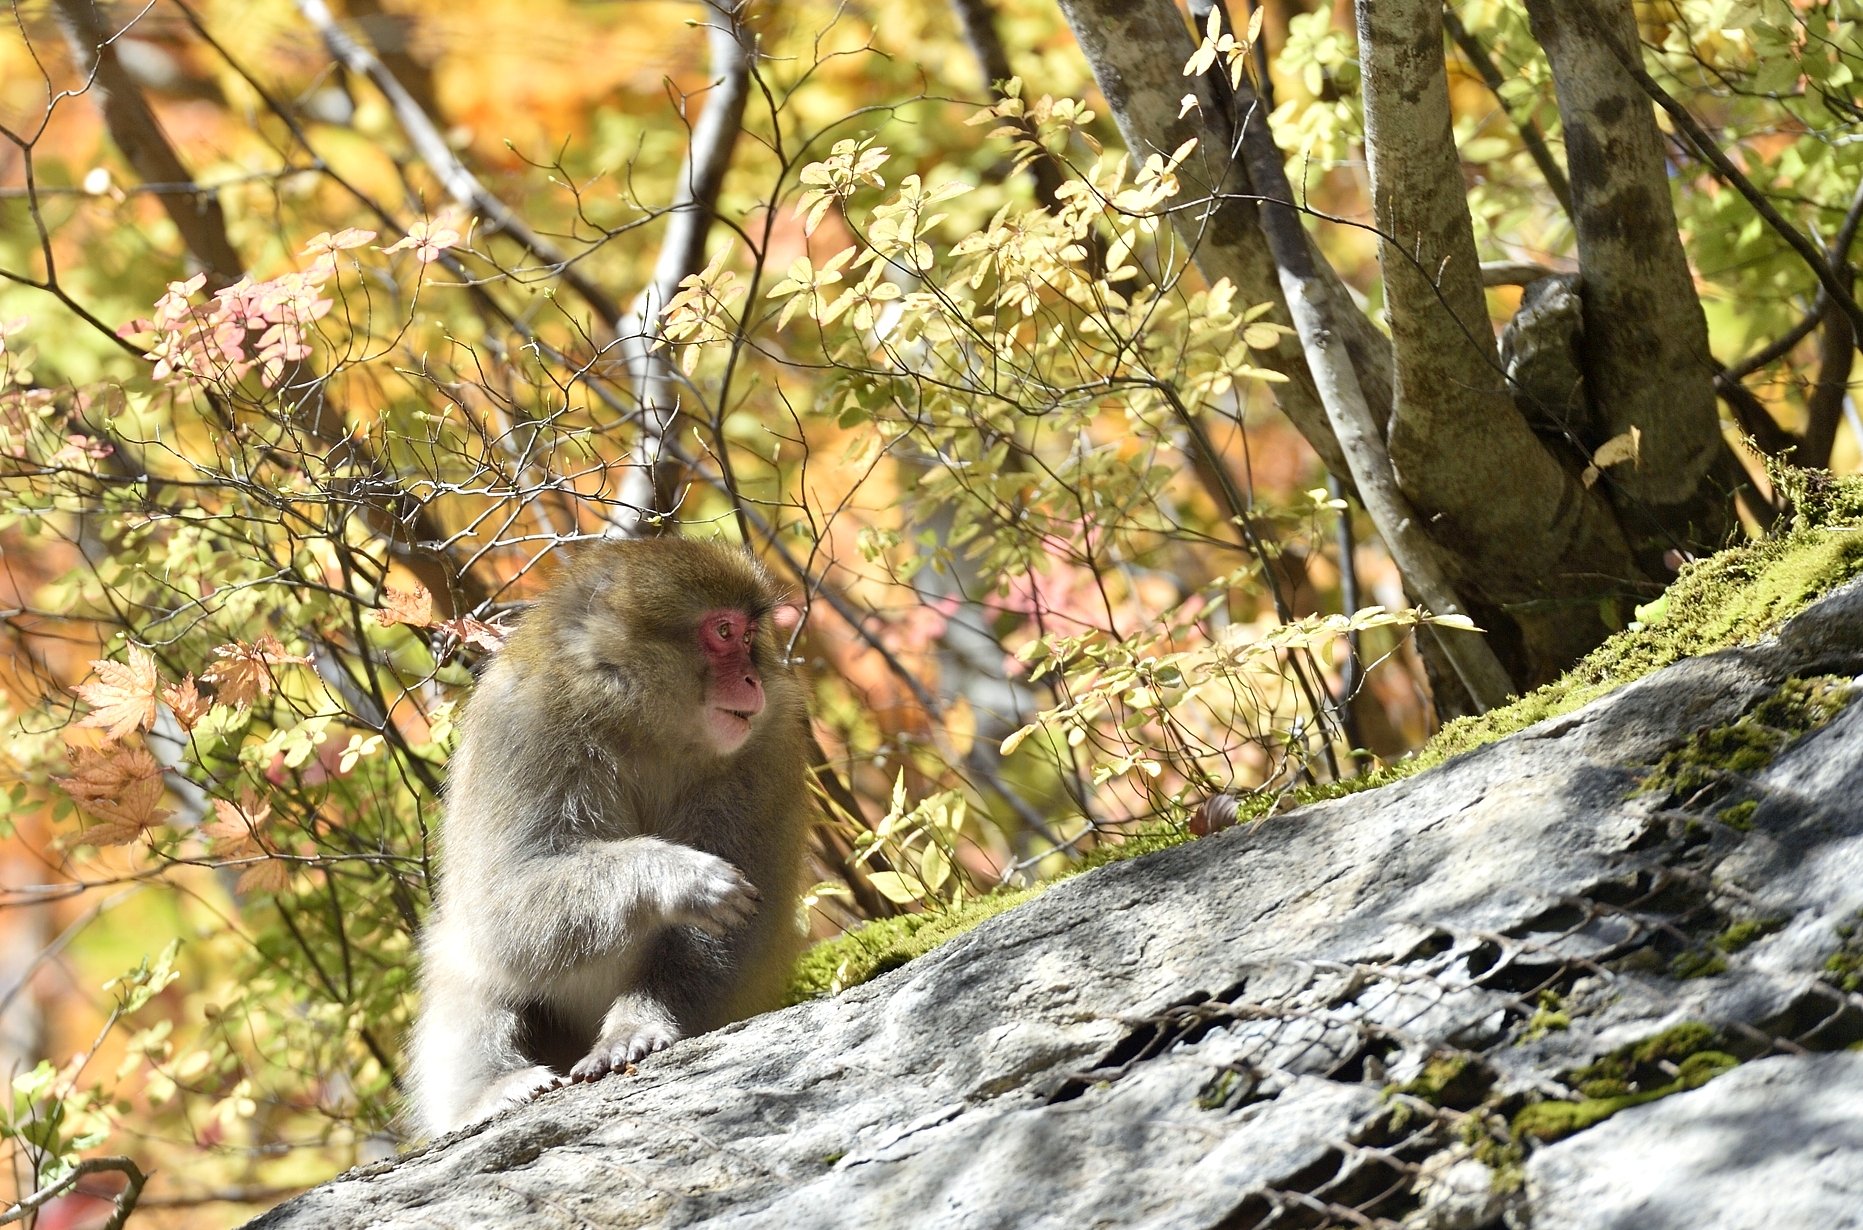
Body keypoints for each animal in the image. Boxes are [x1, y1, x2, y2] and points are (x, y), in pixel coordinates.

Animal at [406, 537, 812, 1137]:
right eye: (723, 632)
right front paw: (676, 876)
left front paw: (636, 1027)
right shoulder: (523, 725)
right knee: (469, 964)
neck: (639, 721)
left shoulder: (769, 744)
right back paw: (492, 1089)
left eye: (748, 638)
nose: (754, 680)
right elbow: (498, 910)